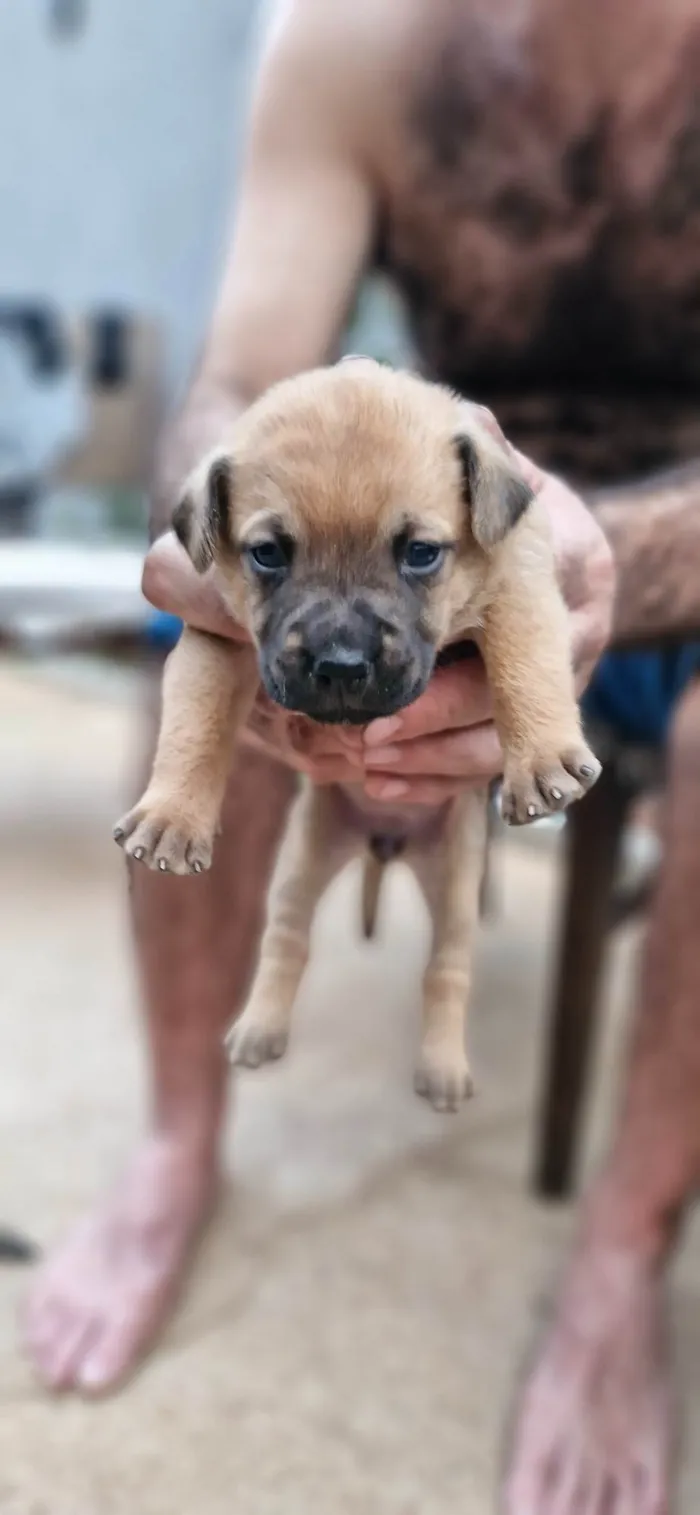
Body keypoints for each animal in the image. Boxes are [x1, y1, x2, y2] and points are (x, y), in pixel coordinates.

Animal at [115, 360, 603, 1108]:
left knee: (446, 969)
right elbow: (193, 726)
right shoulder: (213, 638)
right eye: (266, 554)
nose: (342, 666)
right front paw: (172, 815)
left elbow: (528, 659)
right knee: (287, 938)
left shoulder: (518, 579)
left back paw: (441, 1066)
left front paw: (543, 757)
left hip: (457, 885)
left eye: (422, 553)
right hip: (303, 862)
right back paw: (259, 1028)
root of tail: (386, 843)